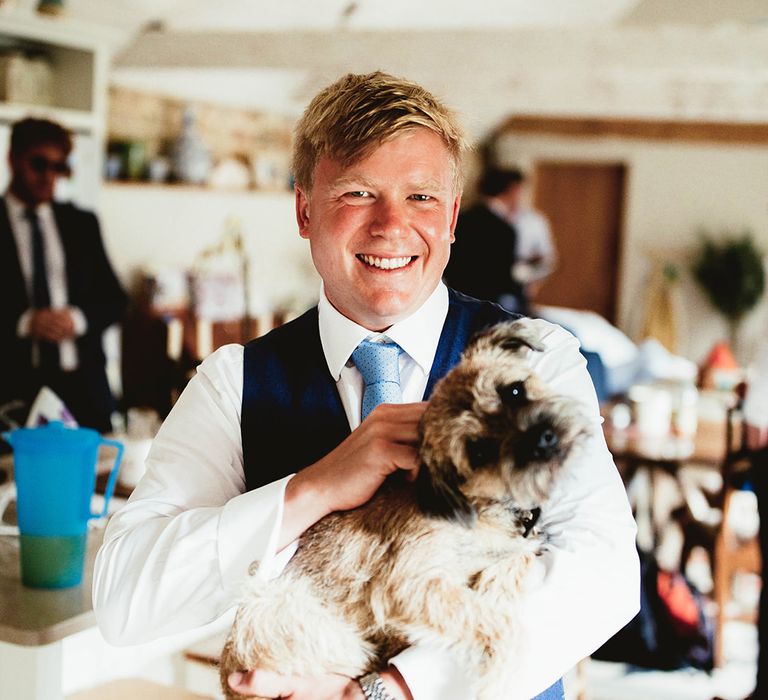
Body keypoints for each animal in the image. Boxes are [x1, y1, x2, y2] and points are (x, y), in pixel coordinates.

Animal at [219, 320, 592, 696]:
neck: (481, 507)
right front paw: (499, 673)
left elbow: (519, 558)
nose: (543, 438)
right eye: (478, 452)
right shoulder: (410, 583)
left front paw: (499, 581)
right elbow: (495, 620)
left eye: (513, 391)